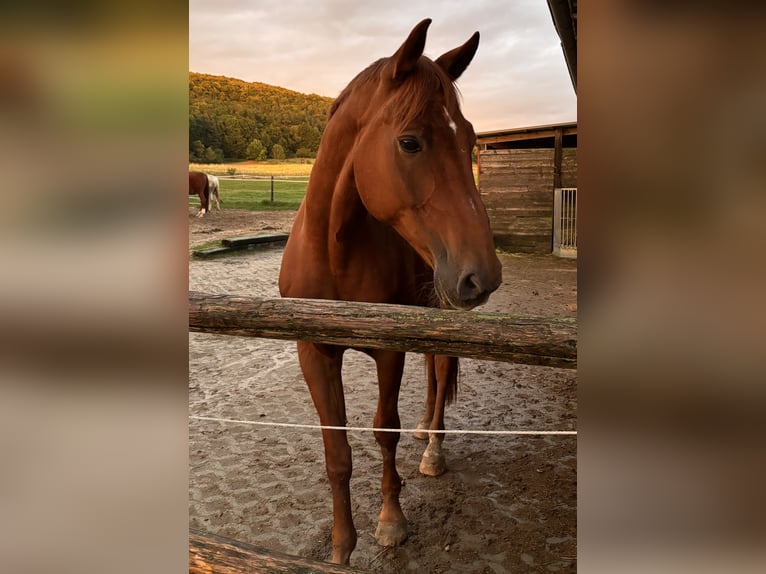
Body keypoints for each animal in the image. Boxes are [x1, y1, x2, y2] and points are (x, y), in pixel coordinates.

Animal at [278, 19, 502, 565]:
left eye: (469, 139)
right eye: (410, 142)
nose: (483, 275)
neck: (334, 252)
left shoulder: (388, 350)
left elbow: (384, 431)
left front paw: (390, 521)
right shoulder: (313, 351)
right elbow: (336, 451)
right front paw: (341, 545)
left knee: (441, 373)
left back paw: (433, 450)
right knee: (434, 374)